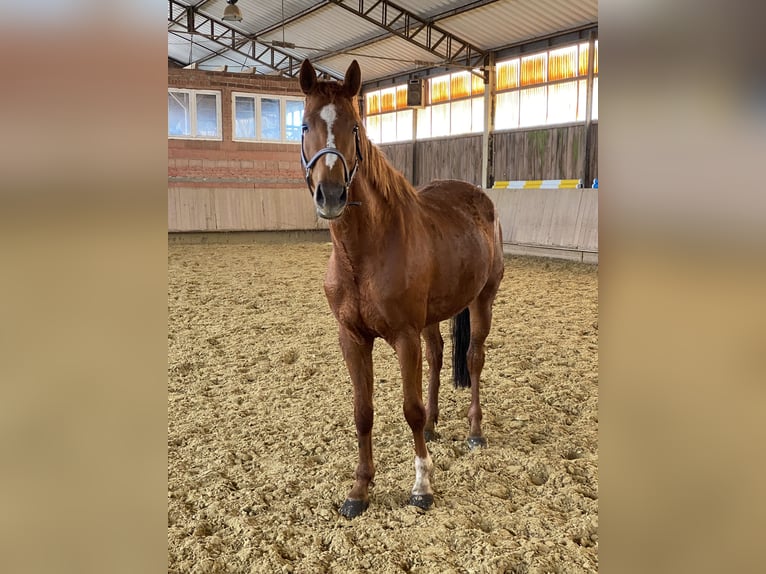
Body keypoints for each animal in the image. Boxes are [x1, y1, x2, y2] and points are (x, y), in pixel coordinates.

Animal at [304, 59, 508, 520]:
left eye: (354, 127)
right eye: (305, 125)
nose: (331, 194)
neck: (365, 252)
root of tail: (480, 199)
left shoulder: (403, 337)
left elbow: (408, 408)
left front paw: (422, 486)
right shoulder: (352, 338)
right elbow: (363, 411)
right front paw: (360, 489)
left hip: (482, 300)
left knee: (474, 359)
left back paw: (474, 430)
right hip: (434, 317)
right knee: (437, 358)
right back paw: (434, 426)